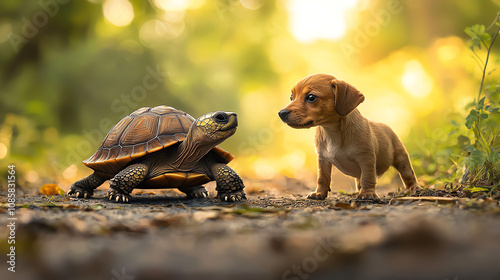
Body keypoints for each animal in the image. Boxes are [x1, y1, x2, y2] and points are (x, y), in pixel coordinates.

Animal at [280, 73, 420, 198]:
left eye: (311, 97)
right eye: (291, 97)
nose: (281, 113)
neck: (331, 132)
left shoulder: (367, 159)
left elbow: (368, 177)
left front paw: (368, 194)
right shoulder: (323, 160)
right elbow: (322, 178)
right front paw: (319, 193)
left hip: (401, 158)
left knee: (408, 174)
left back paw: (414, 188)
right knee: (359, 179)